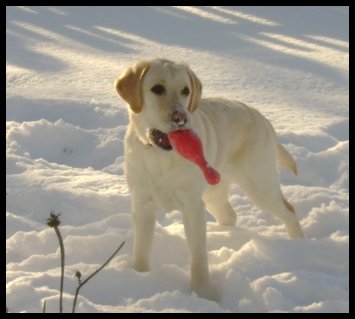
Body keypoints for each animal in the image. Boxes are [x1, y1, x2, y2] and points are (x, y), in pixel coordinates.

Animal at [115, 58, 304, 302]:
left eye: (185, 90)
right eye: (157, 89)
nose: (181, 118)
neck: (161, 156)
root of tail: (262, 118)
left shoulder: (192, 206)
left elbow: (198, 254)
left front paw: (203, 292)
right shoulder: (142, 204)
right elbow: (141, 250)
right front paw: (140, 277)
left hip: (259, 185)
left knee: (289, 211)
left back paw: (299, 245)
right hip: (214, 193)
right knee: (230, 215)